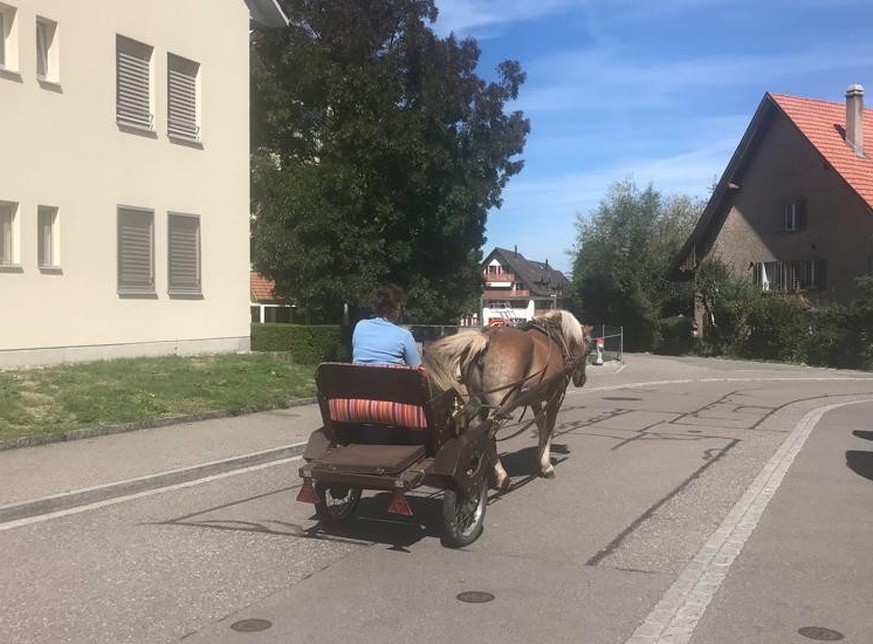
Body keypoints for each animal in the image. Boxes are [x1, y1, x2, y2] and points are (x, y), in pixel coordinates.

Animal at [424, 310, 592, 488]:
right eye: (588, 346)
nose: (582, 379)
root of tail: (487, 338)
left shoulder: (534, 399)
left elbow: (541, 427)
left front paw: (541, 458)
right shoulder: (556, 396)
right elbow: (549, 429)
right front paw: (547, 466)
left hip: (478, 400)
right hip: (502, 405)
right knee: (488, 435)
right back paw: (500, 476)